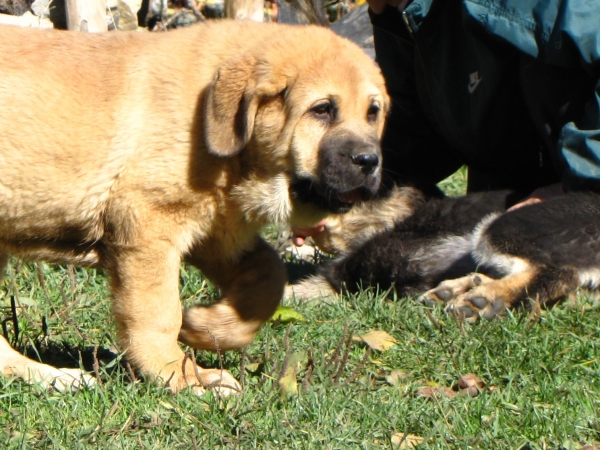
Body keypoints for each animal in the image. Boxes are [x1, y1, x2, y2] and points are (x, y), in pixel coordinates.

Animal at [0, 21, 390, 392]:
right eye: (322, 110)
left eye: (373, 113)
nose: (370, 161)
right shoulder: (146, 226)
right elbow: (157, 313)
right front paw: (181, 376)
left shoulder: (217, 233)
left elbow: (270, 276)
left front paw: (207, 327)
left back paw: (52, 377)